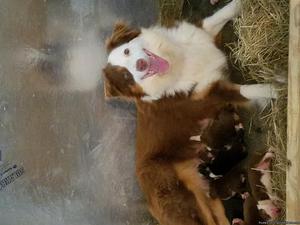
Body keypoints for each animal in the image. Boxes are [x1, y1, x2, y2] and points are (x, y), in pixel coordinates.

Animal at [101, 0, 276, 224]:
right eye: (127, 77)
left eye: (126, 52)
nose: (140, 65)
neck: (177, 61)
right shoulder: (214, 94)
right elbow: (252, 90)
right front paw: (278, 88)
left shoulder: (201, 32)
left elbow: (222, 13)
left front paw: (240, 4)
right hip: (189, 202)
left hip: (208, 196)